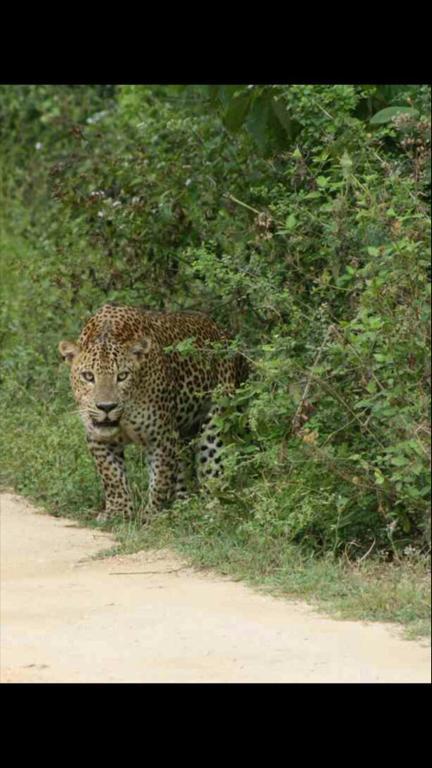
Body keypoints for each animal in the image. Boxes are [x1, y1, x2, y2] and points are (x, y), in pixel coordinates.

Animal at [59, 302, 248, 520]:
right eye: (88, 376)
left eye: (122, 376)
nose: (106, 407)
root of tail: (226, 334)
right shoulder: (97, 438)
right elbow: (111, 475)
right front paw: (118, 512)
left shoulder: (160, 436)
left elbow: (160, 478)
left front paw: (152, 514)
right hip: (182, 433)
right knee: (182, 467)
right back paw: (182, 505)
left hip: (215, 423)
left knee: (211, 467)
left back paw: (210, 508)